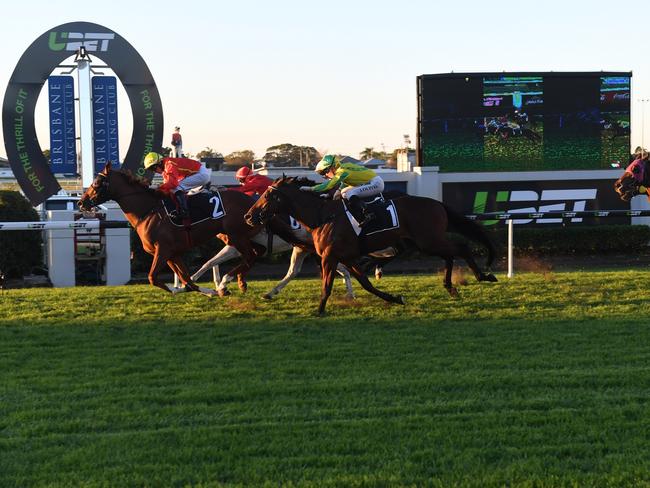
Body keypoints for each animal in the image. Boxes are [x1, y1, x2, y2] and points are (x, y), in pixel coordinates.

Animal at [77, 163, 256, 294]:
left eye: (97, 183)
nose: (81, 202)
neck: (148, 211)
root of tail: (252, 201)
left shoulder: (163, 250)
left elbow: (152, 277)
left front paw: (175, 289)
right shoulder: (172, 254)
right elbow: (186, 279)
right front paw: (207, 291)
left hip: (237, 235)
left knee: (250, 256)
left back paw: (228, 281)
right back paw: (231, 284)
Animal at [244, 177, 496, 314]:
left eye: (267, 195)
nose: (248, 216)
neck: (322, 216)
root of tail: (437, 203)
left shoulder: (329, 257)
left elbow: (327, 285)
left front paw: (319, 310)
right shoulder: (346, 257)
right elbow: (366, 285)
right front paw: (394, 298)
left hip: (428, 240)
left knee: (461, 249)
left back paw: (483, 276)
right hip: (425, 241)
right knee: (450, 254)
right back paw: (451, 286)